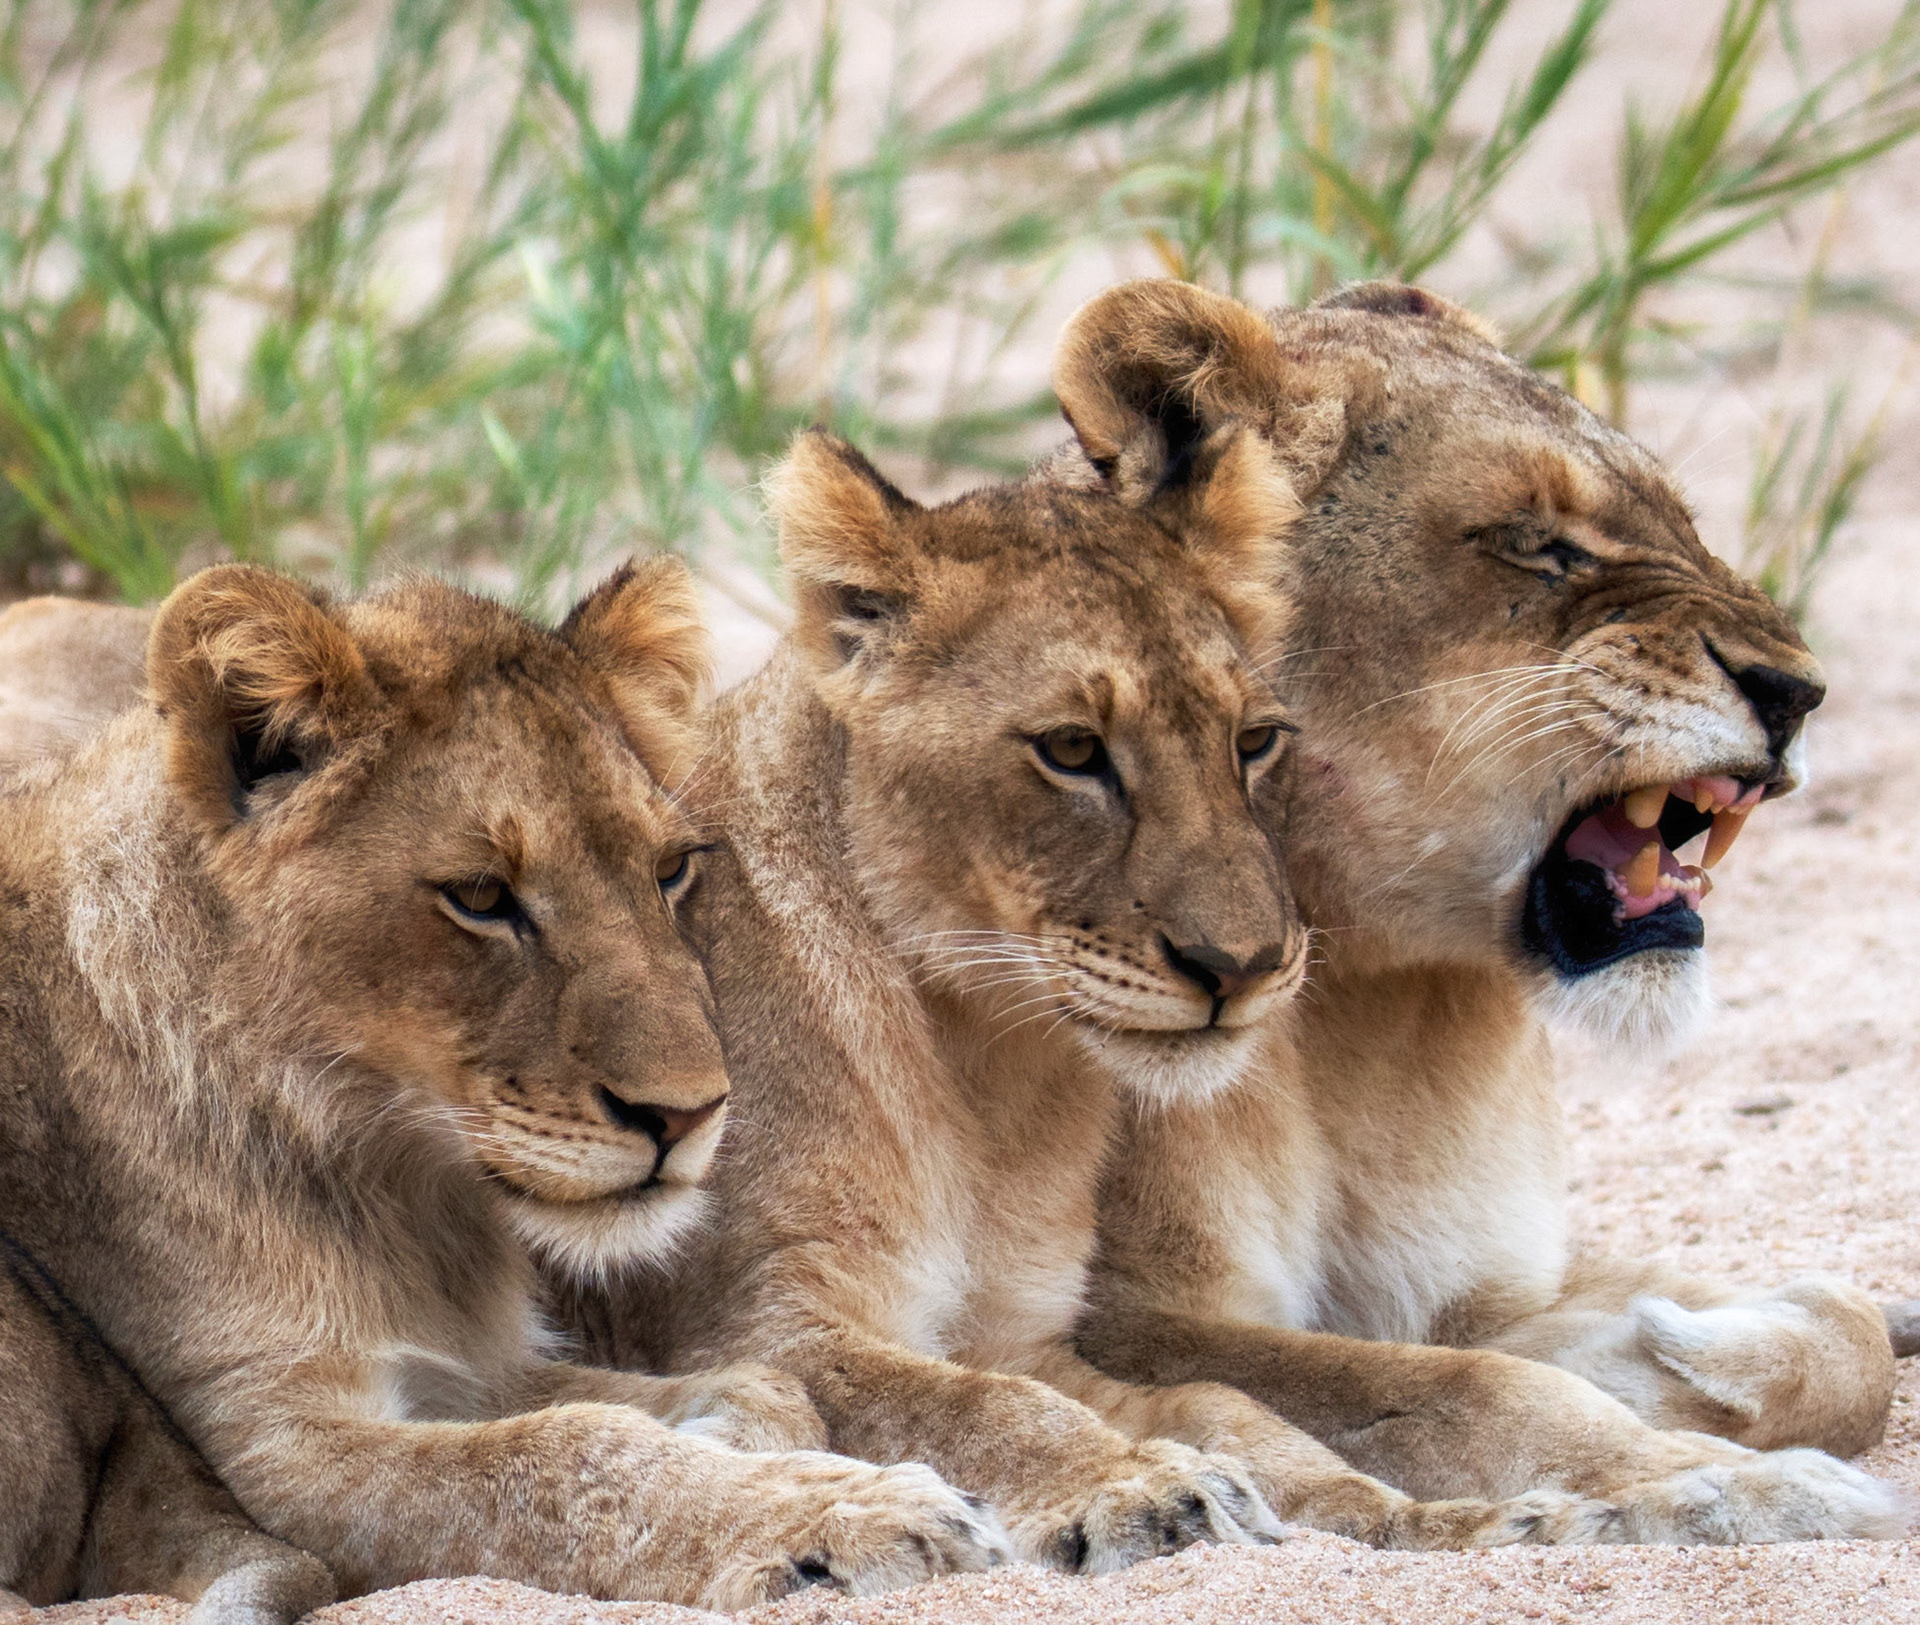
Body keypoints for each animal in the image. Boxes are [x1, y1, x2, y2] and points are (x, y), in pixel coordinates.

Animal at [0, 562, 1006, 1610]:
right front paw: (858, 1514)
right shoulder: (267, 1440)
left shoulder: (468, 1364)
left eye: (670, 869)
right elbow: (565, 1457)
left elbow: (753, 1388)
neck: (397, 1185)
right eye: (482, 896)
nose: (689, 1113)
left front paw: (739, 1435)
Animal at [557, 423, 1655, 1566]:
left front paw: (1463, 1517)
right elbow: (994, 1410)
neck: (981, 1064)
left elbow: (1220, 1404)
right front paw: (1137, 1489)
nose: (1243, 965)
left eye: (1254, 741)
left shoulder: (1027, 1325)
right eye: (1073, 750)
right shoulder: (757, 1324)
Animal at [1045, 277, 1906, 1540]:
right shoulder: (1109, 1313)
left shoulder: (1485, 1287)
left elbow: (1845, 1334)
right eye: (1541, 543)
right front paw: (1727, 1484)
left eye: (1685, 525)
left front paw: (1703, 1345)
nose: (1800, 691)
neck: (1373, 1007)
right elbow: (1464, 1389)